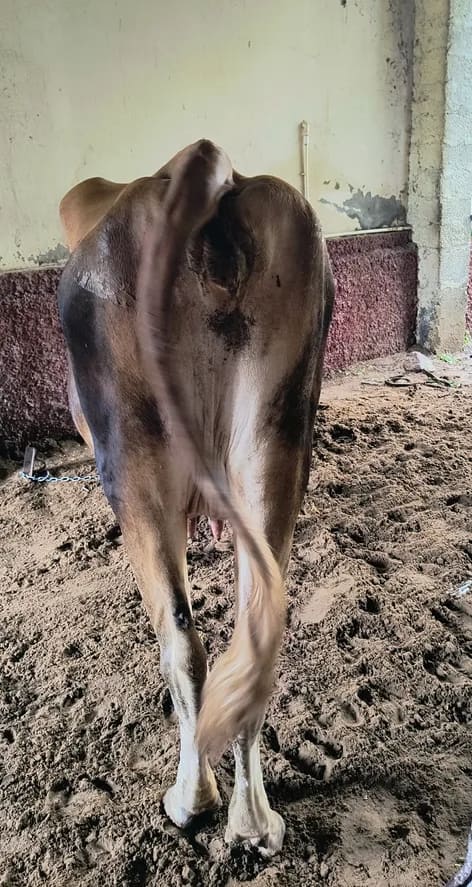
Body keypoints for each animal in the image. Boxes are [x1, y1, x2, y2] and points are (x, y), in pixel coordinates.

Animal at [57, 139, 334, 856]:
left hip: (134, 452)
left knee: (182, 641)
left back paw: (192, 801)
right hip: (277, 429)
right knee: (255, 632)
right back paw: (254, 823)